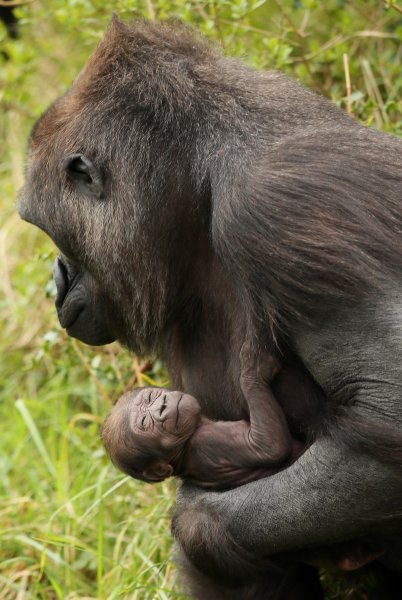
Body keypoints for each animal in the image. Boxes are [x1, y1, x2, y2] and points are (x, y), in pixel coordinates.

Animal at [100, 344, 302, 490]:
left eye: (150, 398)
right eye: (146, 423)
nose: (161, 407)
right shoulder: (208, 441)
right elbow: (270, 447)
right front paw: (251, 374)